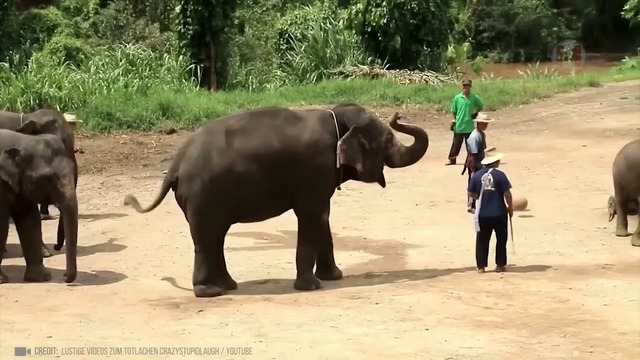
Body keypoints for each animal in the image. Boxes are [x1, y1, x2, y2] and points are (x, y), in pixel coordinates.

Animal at [0, 129, 79, 284]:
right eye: (48, 178)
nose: (64, 276)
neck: (21, 140)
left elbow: (30, 221)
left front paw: (41, 278)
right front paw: (2, 280)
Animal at [122, 104, 428, 298]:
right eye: (388, 139)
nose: (397, 115)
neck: (336, 115)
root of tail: (175, 165)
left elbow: (323, 218)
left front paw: (334, 277)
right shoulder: (314, 171)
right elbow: (312, 216)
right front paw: (311, 286)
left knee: (215, 237)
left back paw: (228, 285)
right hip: (202, 196)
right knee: (206, 238)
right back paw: (210, 292)